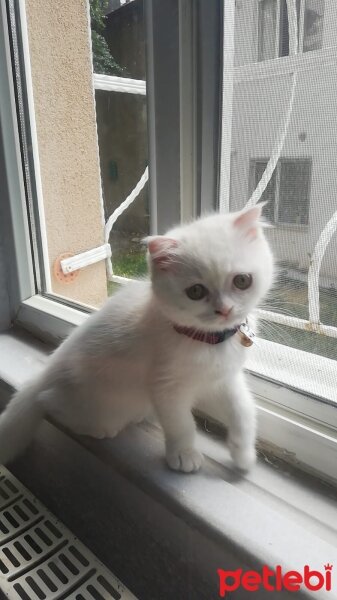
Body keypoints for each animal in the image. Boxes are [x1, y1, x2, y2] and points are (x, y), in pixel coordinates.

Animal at [0, 206, 272, 474]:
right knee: (48, 402)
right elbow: (181, 423)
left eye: (242, 280)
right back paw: (97, 427)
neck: (208, 340)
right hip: (97, 399)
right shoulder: (166, 386)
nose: (224, 310)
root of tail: (47, 372)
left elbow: (243, 411)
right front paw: (183, 454)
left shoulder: (226, 377)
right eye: (196, 291)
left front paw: (244, 455)